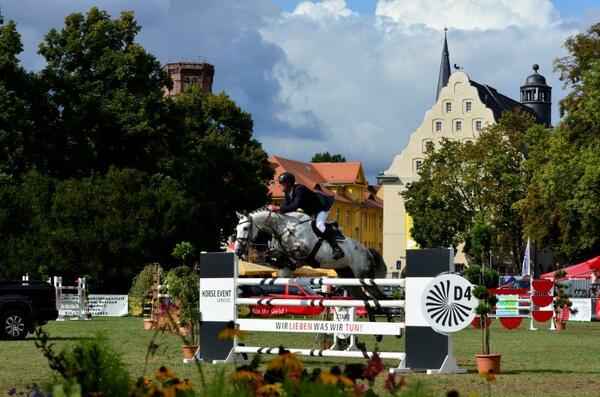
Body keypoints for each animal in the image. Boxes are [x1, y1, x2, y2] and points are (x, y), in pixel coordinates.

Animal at [232, 207, 392, 328]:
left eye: (245, 228)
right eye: (236, 229)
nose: (238, 250)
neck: (285, 228)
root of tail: (368, 251)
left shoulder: (302, 251)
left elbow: (292, 257)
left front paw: (287, 261)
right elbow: (273, 257)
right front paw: (278, 260)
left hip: (364, 277)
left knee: (381, 298)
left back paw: (389, 325)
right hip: (350, 282)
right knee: (367, 300)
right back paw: (374, 330)